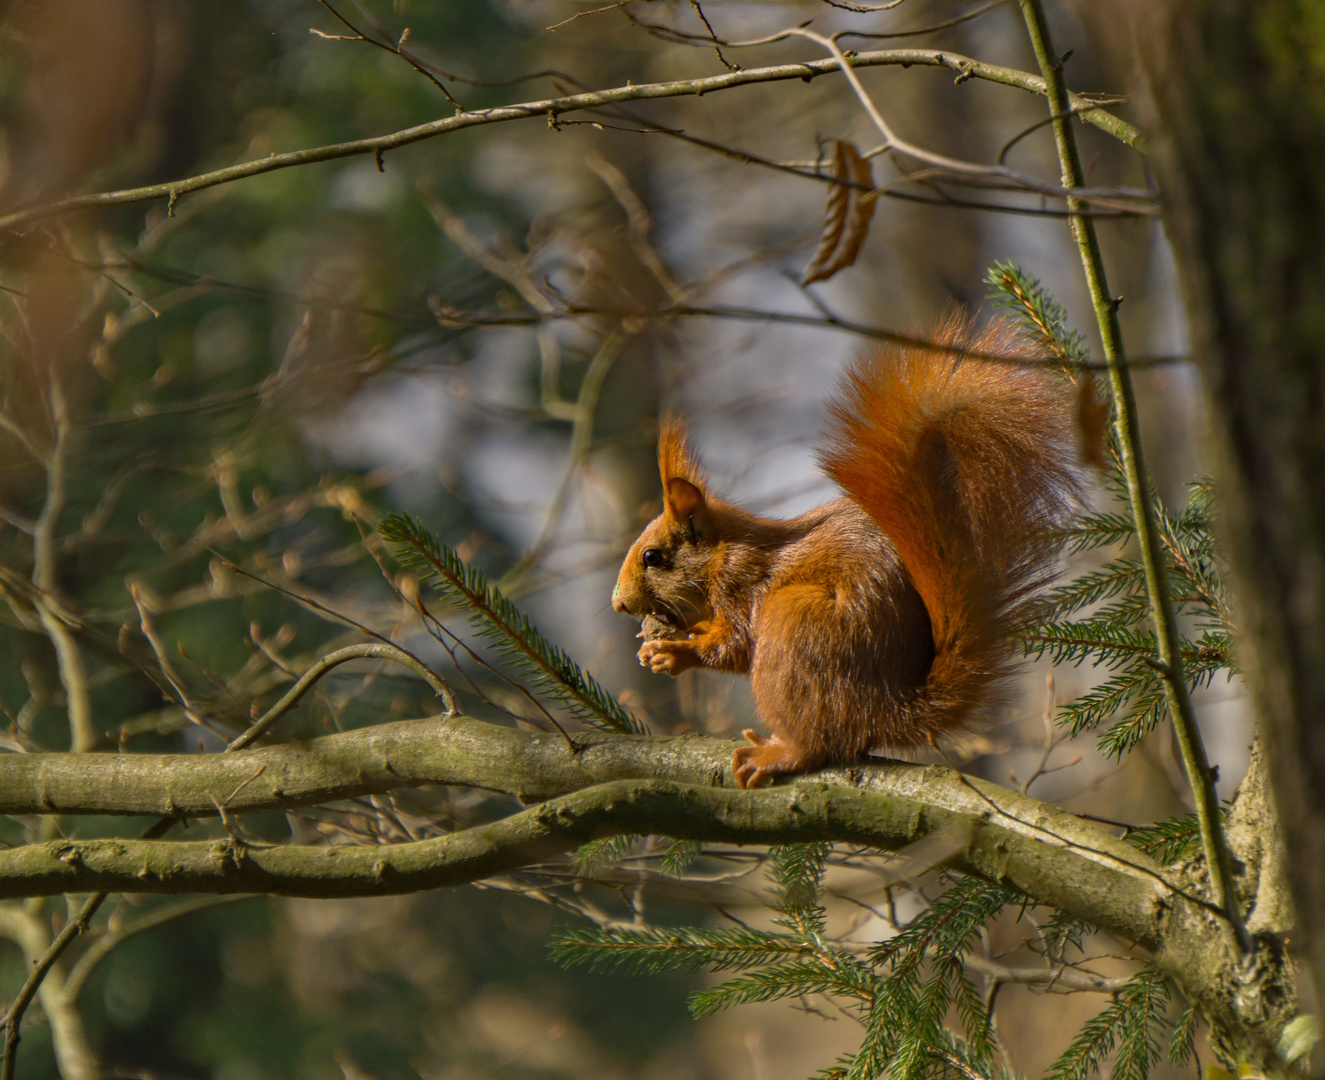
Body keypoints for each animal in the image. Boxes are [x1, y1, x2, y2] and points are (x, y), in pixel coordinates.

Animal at [614, 312, 1081, 784]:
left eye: (652, 557)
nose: (618, 603)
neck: (724, 552)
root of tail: (886, 710)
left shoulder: (742, 581)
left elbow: (736, 643)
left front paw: (677, 651)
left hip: (794, 625)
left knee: (818, 741)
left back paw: (776, 753)